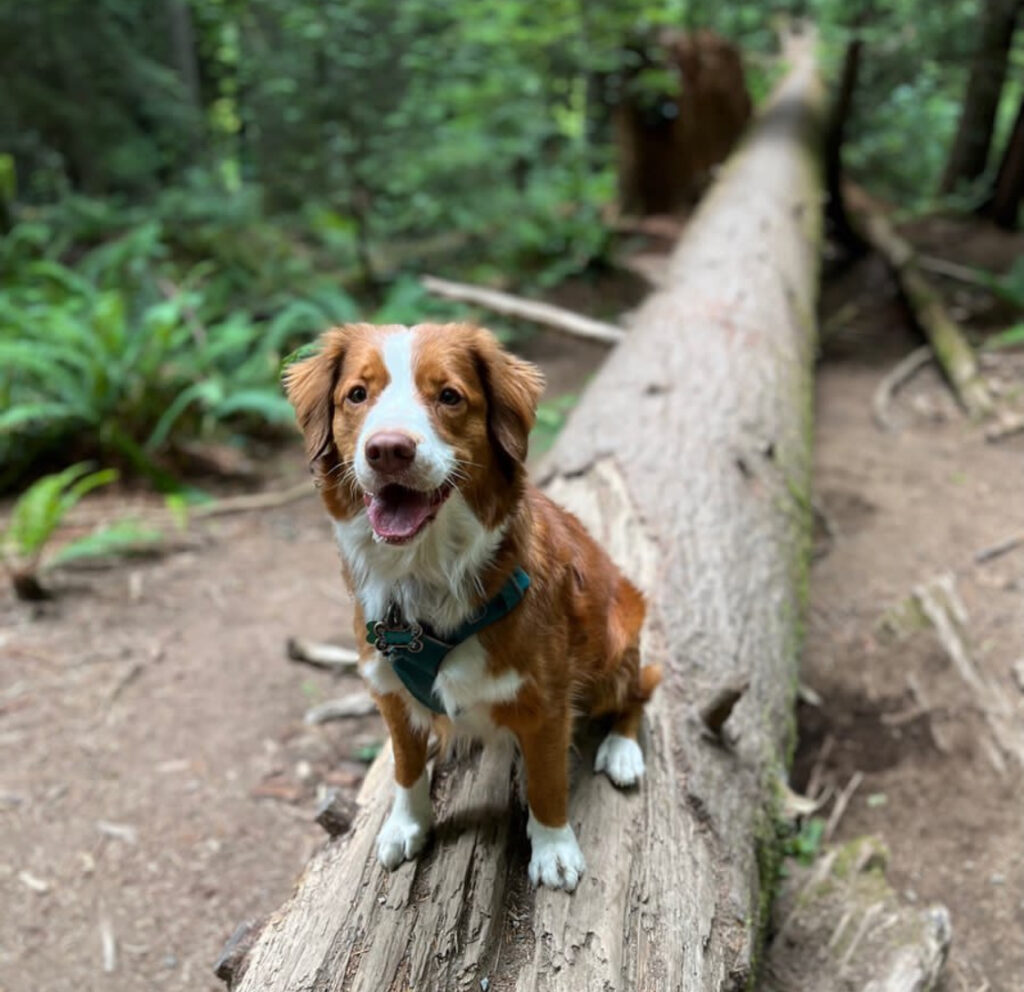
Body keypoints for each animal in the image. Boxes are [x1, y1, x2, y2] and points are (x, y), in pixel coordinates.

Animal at [284, 323, 659, 888]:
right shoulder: (389, 691)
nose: (387, 450)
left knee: (638, 692)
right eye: (357, 394)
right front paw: (406, 826)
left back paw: (622, 752)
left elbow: (547, 782)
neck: (425, 578)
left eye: (449, 396)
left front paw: (554, 849)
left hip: (615, 642)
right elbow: (406, 768)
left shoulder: (547, 701)